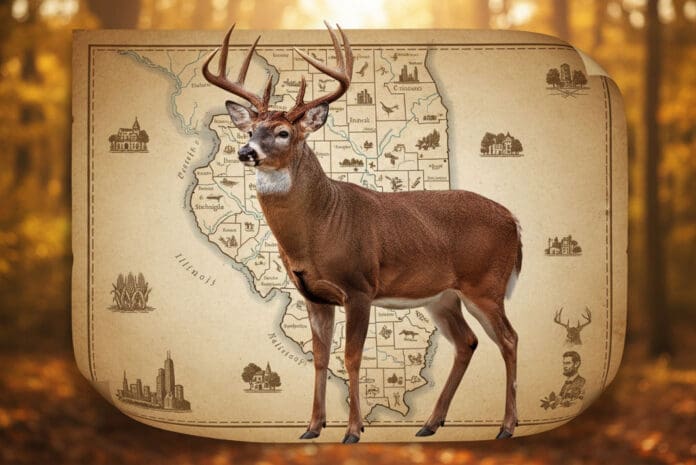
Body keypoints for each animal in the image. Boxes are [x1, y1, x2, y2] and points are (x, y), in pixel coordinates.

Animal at [203, 22, 523, 443]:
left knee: (509, 339)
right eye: (252, 129)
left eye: (284, 132)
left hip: (485, 284)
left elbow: (352, 356)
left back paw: (506, 426)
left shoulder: (359, 288)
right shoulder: (313, 296)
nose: (245, 152)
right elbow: (319, 358)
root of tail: (514, 221)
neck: (320, 226)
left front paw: (354, 430)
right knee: (467, 342)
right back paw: (429, 423)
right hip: (442, 296)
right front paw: (312, 427)